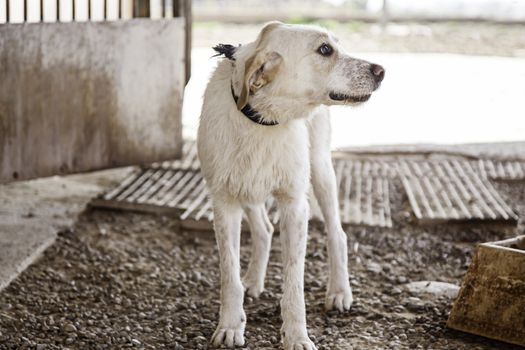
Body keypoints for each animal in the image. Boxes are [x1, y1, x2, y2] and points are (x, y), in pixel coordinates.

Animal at [194, 21, 382, 350]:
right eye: (325, 49)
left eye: (336, 45)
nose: (381, 71)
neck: (262, 119)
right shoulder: (224, 201)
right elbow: (229, 276)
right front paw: (230, 325)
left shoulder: (295, 205)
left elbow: (294, 284)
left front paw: (296, 335)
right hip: (247, 185)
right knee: (264, 229)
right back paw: (253, 281)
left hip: (321, 169)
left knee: (338, 233)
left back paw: (339, 291)